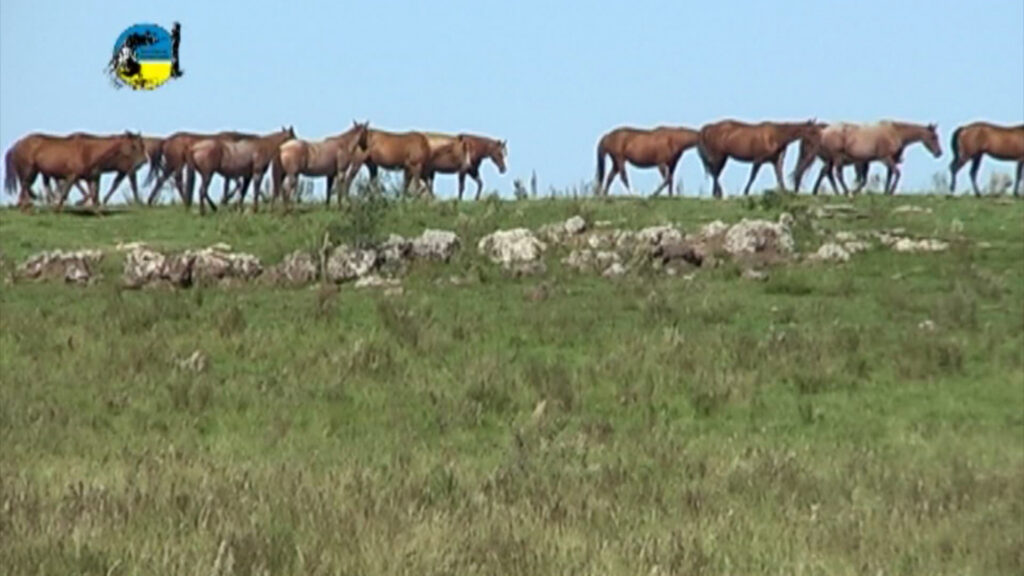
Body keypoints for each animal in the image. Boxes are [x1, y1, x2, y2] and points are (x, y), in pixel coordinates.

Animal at [3, 131, 147, 211]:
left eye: (142, 145)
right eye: (134, 146)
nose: (143, 161)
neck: (89, 151)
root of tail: (16, 144)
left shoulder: (91, 177)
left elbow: (93, 195)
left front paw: (97, 211)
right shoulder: (72, 176)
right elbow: (66, 193)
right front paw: (59, 208)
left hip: (35, 173)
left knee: (27, 187)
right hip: (29, 171)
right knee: (25, 187)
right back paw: (26, 206)